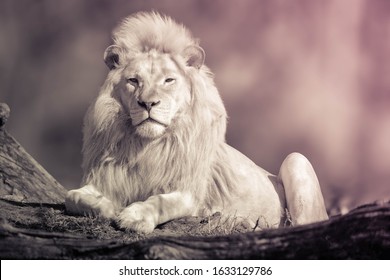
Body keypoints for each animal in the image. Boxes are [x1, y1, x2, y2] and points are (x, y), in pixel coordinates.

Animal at [65, 11, 328, 234]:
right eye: (133, 81)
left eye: (169, 80)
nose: (148, 103)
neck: (147, 147)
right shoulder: (101, 178)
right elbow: (72, 196)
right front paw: (108, 207)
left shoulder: (188, 192)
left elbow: (160, 202)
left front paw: (135, 217)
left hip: (297, 160)